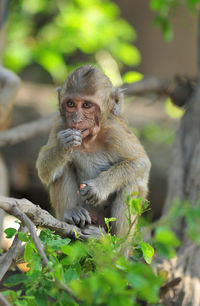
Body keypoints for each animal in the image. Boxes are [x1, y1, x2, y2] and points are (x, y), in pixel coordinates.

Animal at [36, 65, 151, 240]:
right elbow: (44, 171)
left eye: (86, 105)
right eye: (70, 104)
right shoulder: (59, 126)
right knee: (62, 168)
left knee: (131, 183)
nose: (76, 120)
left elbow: (140, 162)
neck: (89, 140)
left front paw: (99, 187)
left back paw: (112, 241)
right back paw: (72, 213)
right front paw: (63, 146)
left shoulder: (115, 132)